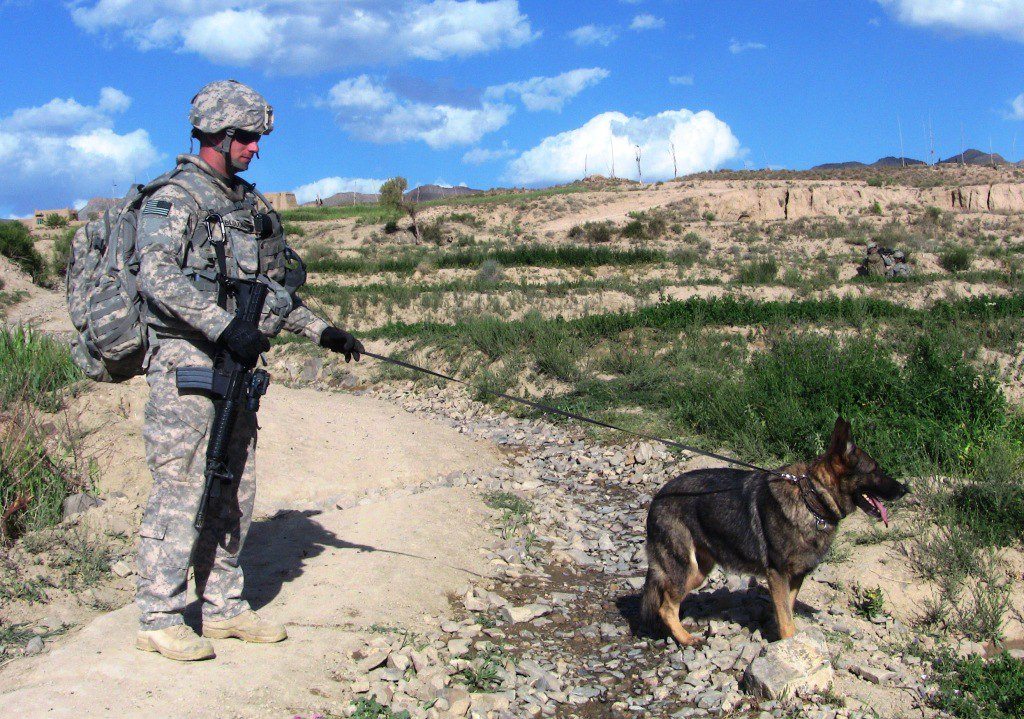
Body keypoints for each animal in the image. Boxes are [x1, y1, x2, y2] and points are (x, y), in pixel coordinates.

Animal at [643, 417, 909, 647]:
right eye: (875, 470)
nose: (905, 489)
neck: (811, 499)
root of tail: (658, 497)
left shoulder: (794, 578)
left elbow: (786, 611)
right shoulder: (777, 575)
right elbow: (787, 620)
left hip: (698, 571)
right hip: (685, 570)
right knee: (665, 608)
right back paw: (686, 639)